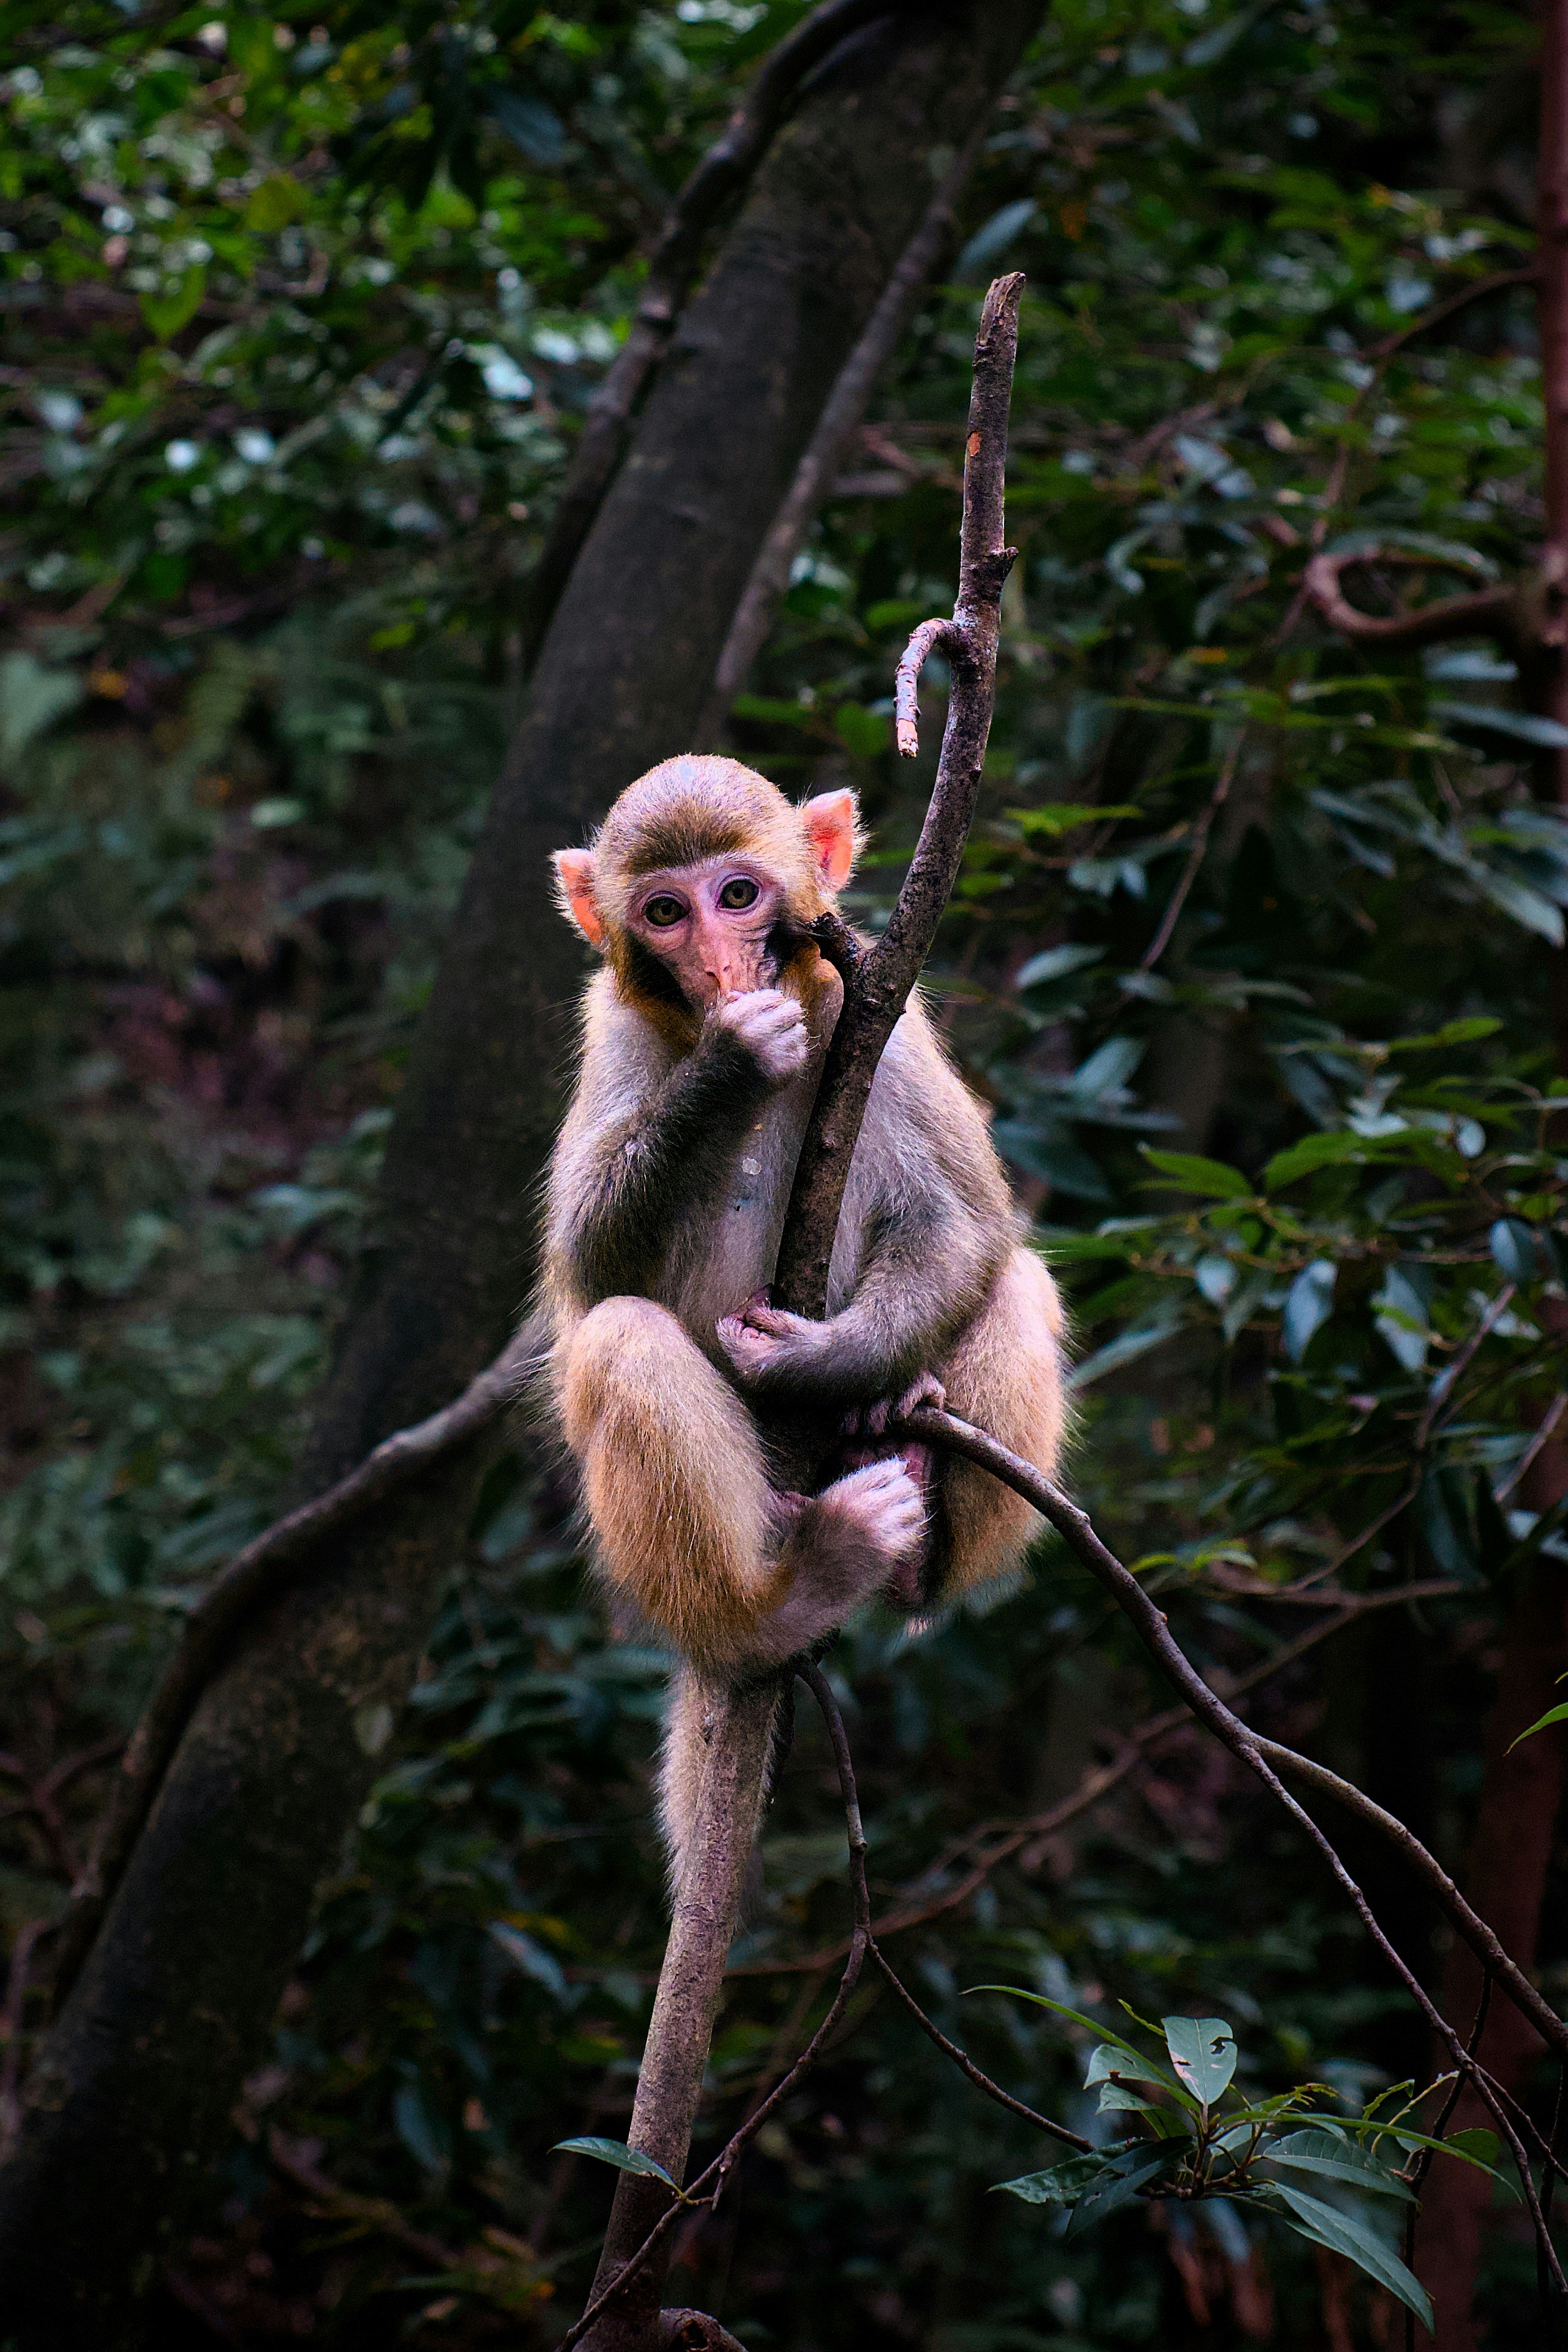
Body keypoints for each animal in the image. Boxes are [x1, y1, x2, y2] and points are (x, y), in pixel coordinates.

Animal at [539, 754, 1066, 1888]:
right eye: (665, 912)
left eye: (737, 895)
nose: (721, 966)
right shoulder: (611, 1029)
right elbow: (594, 1267)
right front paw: (731, 1068)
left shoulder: (880, 1012)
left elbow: (962, 1222)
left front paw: (819, 1366)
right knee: (622, 1340)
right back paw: (777, 1607)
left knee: (1015, 1280)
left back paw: (903, 1492)